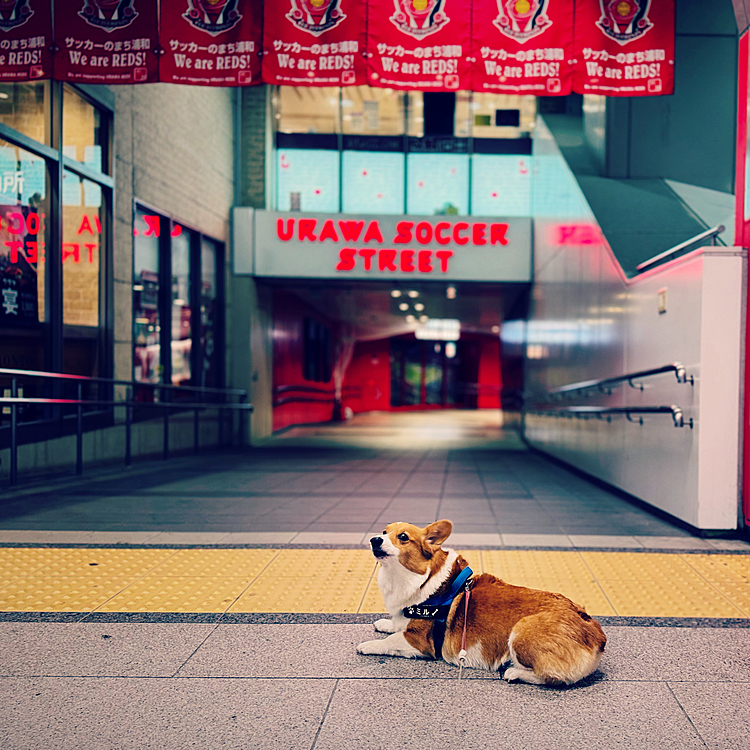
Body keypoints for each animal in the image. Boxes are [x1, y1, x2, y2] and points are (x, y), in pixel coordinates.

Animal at [356, 524, 608, 688]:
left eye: (403, 537)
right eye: (384, 532)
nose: (374, 539)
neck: (420, 578)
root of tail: (596, 634)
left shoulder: (419, 641)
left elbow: (390, 641)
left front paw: (367, 645)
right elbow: (395, 624)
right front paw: (385, 623)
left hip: (521, 631)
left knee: (554, 678)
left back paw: (514, 672)